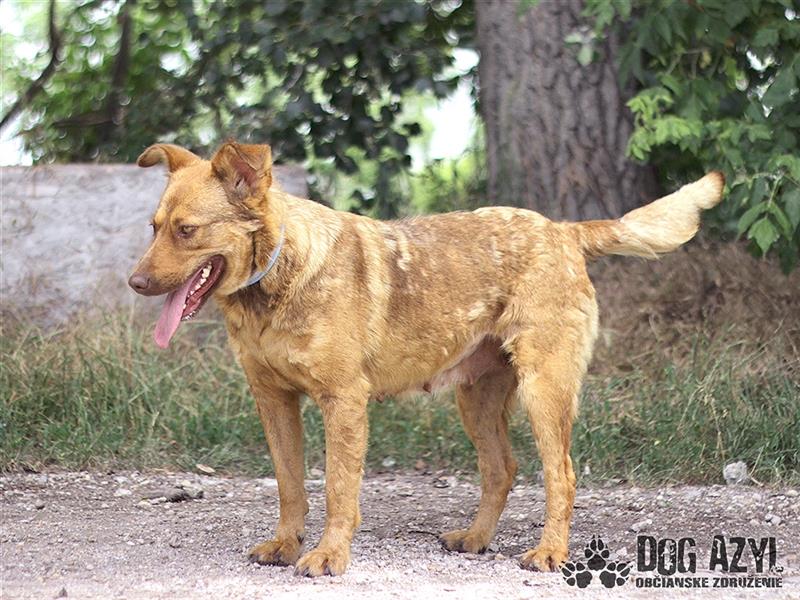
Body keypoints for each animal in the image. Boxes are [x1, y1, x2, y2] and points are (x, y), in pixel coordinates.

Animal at [128, 141, 720, 576]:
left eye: (187, 230)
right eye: (153, 227)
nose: (135, 283)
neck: (276, 279)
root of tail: (563, 230)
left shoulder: (343, 402)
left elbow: (339, 490)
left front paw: (329, 556)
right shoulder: (273, 400)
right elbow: (291, 486)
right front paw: (286, 545)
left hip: (543, 391)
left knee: (562, 475)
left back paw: (551, 552)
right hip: (476, 400)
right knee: (502, 469)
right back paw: (476, 538)